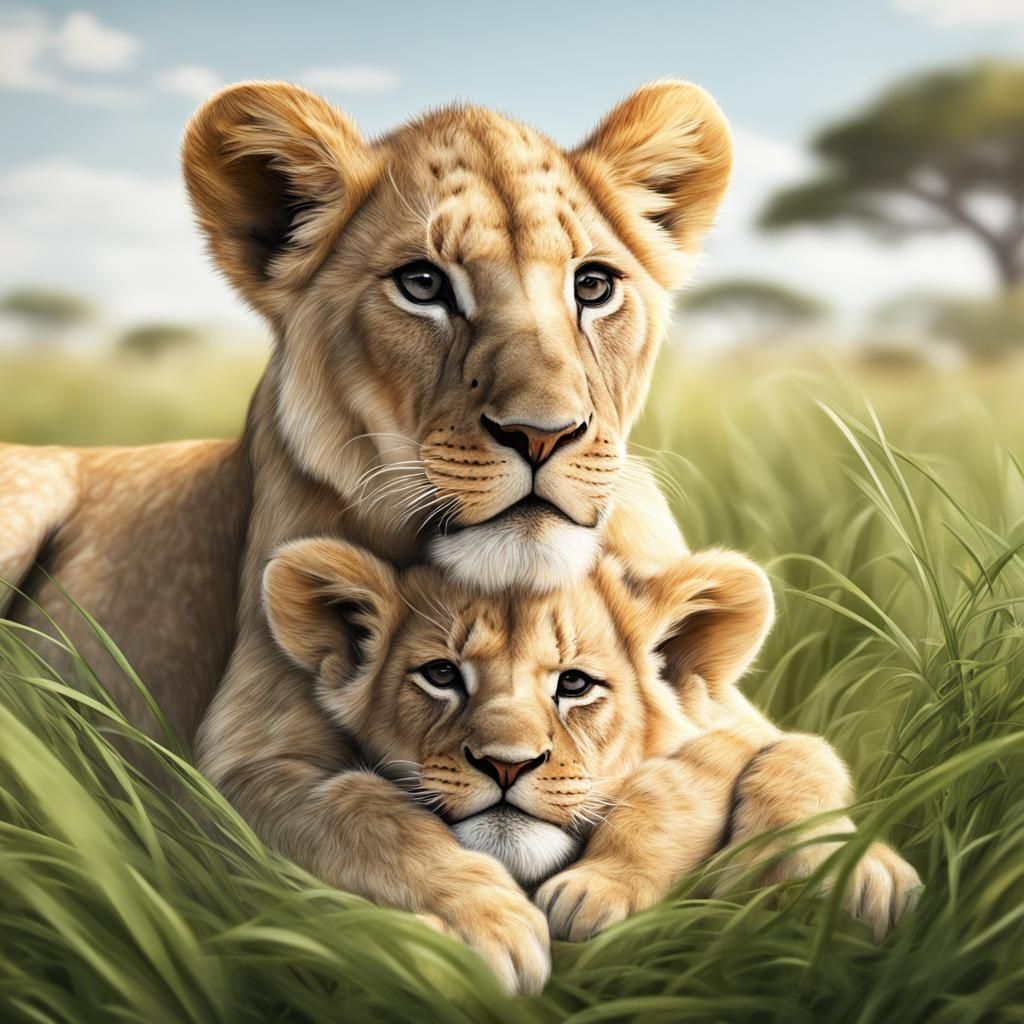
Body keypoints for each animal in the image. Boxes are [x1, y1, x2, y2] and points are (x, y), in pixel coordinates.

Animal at [259, 536, 920, 995]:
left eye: (575, 684)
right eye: (441, 674)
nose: (505, 765)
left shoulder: (727, 734)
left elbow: (681, 784)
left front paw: (596, 892)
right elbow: (367, 811)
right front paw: (492, 930)